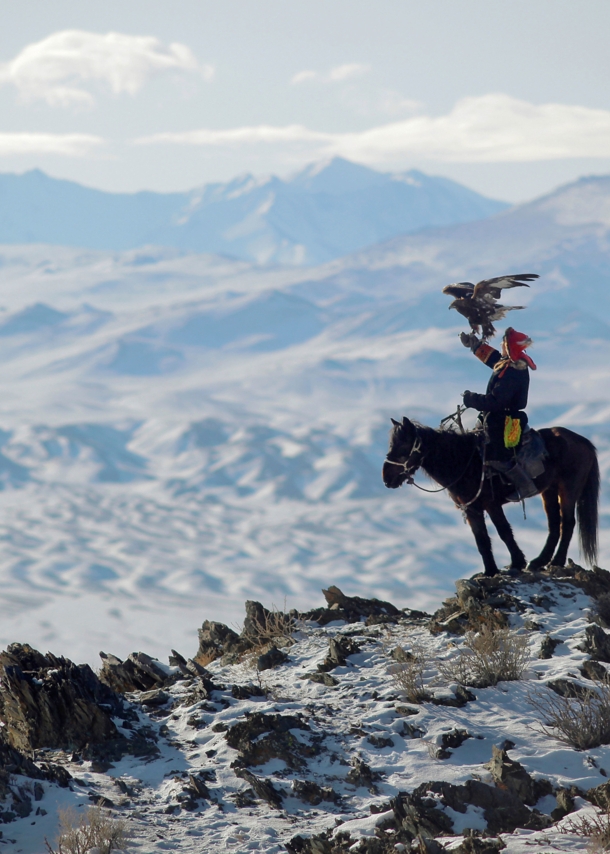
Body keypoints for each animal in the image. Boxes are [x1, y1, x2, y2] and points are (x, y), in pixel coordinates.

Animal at [382, 418, 596, 580]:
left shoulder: (490, 504)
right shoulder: (471, 508)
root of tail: (583, 442)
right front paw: (491, 571)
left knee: (567, 523)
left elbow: (504, 532)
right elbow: (482, 539)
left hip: (568, 488)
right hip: (549, 490)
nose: (386, 478)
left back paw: (556, 561)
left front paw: (516, 563)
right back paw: (538, 562)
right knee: (554, 524)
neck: (463, 461)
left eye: (403, 447)